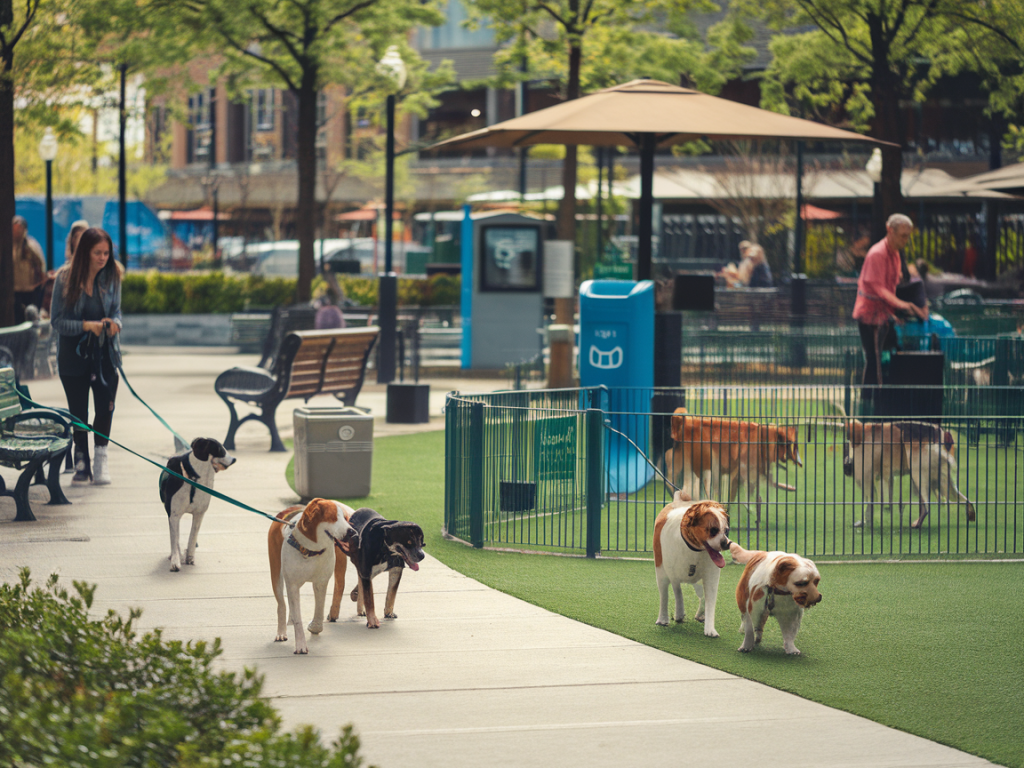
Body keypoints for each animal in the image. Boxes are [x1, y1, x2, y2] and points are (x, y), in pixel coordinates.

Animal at [159, 438, 235, 573]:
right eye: (220, 448)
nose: (234, 459)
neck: (193, 479)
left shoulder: (199, 513)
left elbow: (193, 535)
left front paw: (189, 556)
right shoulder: (174, 514)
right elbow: (175, 539)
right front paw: (175, 561)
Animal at [268, 499, 356, 655]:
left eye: (346, 518)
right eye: (333, 517)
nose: (352, 532)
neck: (311, 551)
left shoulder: (321, 582)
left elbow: (320, 609)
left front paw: (315, 627)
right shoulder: (292, 585)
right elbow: (298, 617)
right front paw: (301, 645)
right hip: (276, 573)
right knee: (282, 605)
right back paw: (281, 632)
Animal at [651, 499, 733, 638]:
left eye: (726, 530)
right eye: (713, 530)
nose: (727, 543)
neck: (693, 548)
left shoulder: (711, 575)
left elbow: (710, 599)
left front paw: (710, 629)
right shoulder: (666, 571)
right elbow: (670, 593)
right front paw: (668, 617)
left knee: (700, 594)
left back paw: (700, 614)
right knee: (670, 590)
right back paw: (671, 615)